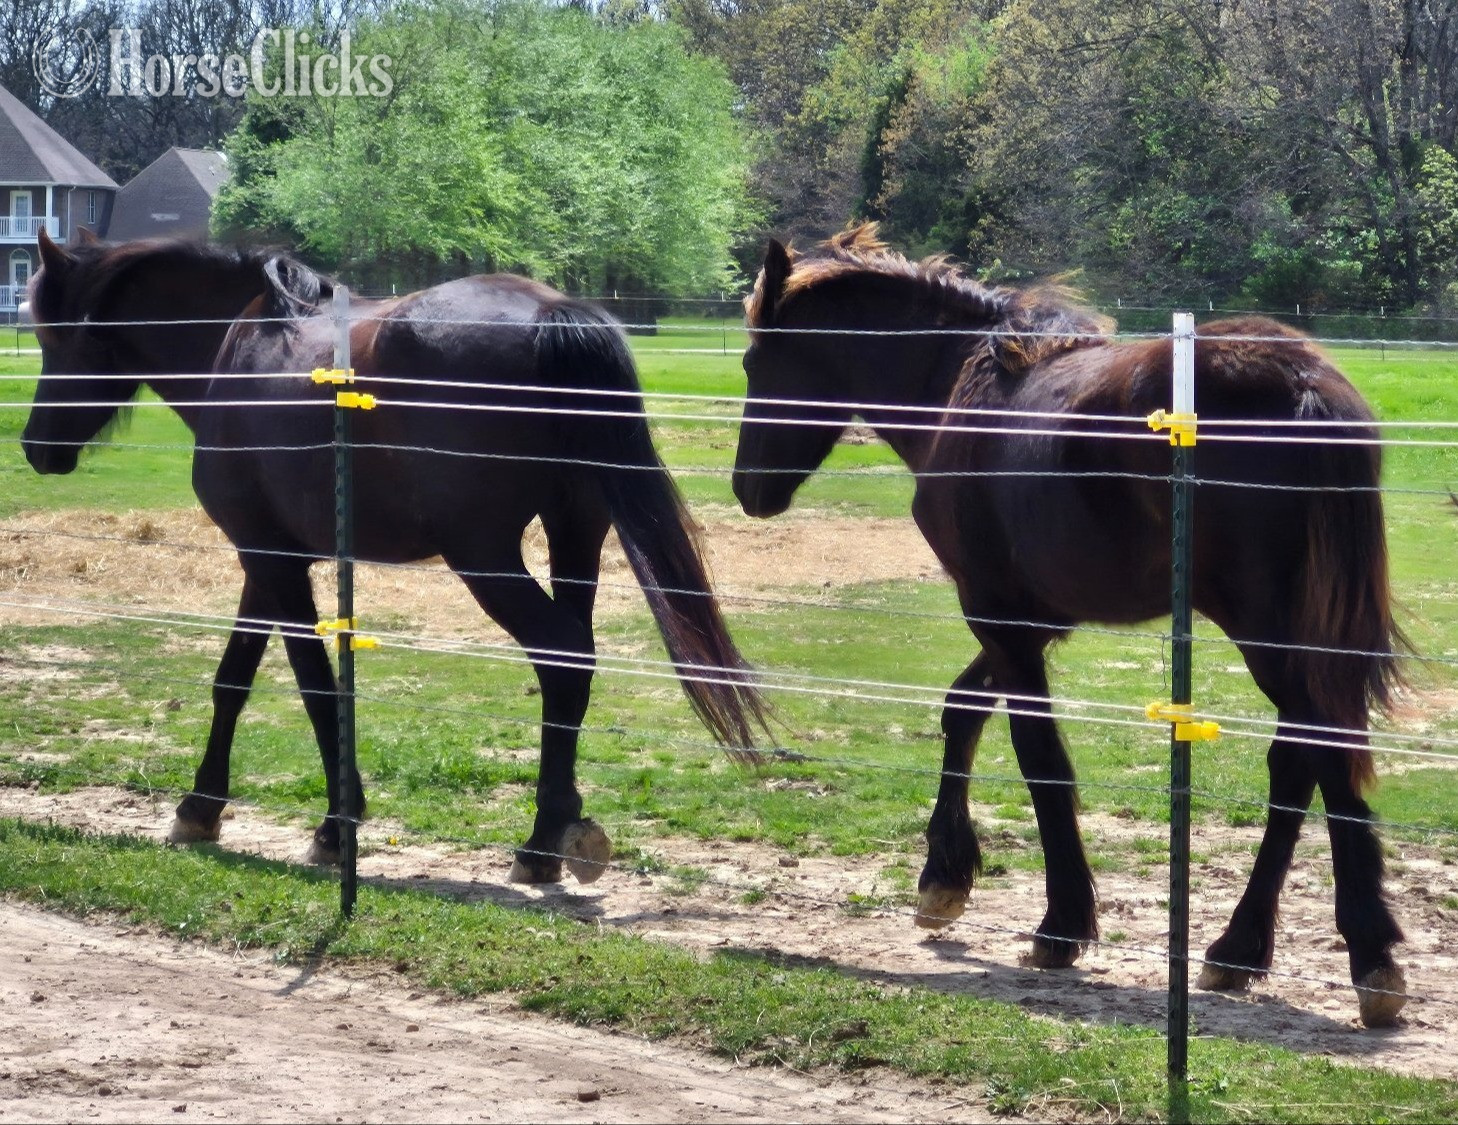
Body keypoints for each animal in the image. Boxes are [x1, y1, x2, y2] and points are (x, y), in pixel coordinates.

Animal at [20, 228, 766, 883]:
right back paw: (560, 829)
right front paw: (201, 807)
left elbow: (316, 686)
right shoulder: (270, 558)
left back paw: (537, 844)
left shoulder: (269, 558)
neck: (237, 344)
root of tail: (553, 314)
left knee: (560, 655)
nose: (35, 446)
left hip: (485, 556)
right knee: (575, 664)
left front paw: (335, 825)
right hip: (575, 532)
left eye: (55, 336)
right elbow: (233, 679)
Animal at [731, 224, 1407, 1027]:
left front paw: (1059, 926)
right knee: (1299, 760)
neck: (958, 389)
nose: (747, 489)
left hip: (1270, 635)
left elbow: (1039, 755)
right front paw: (944, 879)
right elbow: (962, 710)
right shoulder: (1027, 619)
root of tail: (1302, 381)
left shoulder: (996, 612)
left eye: (754, 362)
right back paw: (1239, 951)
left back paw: (1368, 959)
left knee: (1318, 752)